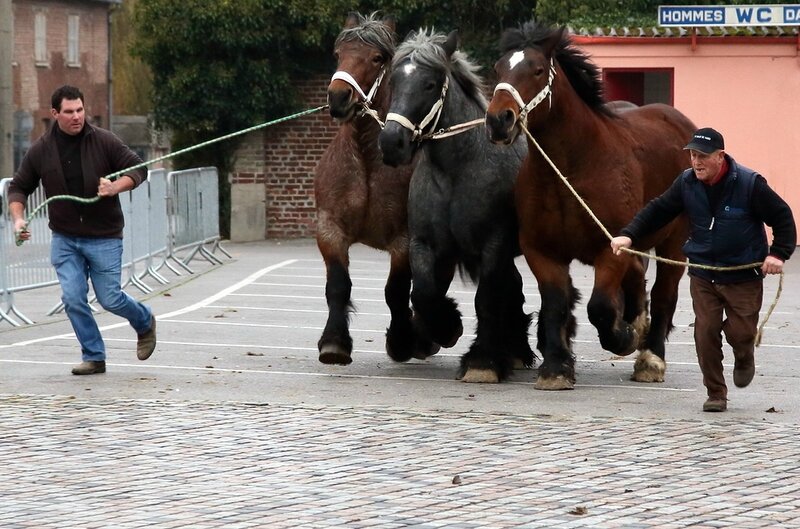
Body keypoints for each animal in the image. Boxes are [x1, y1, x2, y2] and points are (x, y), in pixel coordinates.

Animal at [314, 13, 438, 368]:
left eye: (378, 58)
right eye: (338, 53)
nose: (339, 97)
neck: (368, 159)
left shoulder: (404, 240)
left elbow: (395, 291)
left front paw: (401, 341)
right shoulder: (330, 230)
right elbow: (338, 285)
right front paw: (334, 344)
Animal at [380, 28, 536, 382]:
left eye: (429, 84)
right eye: (394, 80)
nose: (392, 143)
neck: (457, 172)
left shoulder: (493, 245)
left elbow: (486, 300)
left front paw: (482, 362)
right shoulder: (426, 245)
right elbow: (423, 292)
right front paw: (442, 329)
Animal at [484, 21, 696, 388]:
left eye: (537, 70)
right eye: (498, 68)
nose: (500, 120)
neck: (573, 168)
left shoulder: (610, 251)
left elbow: (600, 308)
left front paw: (624, 337)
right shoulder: (542, 251)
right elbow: (555, 304)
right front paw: (556, 368)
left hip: (674, 243)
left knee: (664, 293)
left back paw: (651, 358)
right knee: (638, 278)